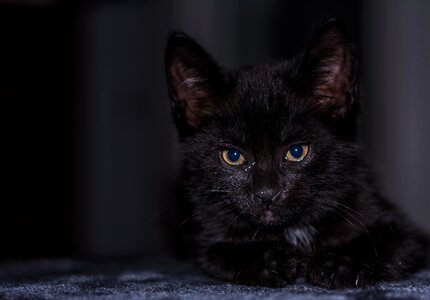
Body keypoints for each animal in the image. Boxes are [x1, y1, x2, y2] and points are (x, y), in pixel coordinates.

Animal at [164, 21, 426, 288]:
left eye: (297, 152)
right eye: (233, 156)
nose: (266, 194)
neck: (293, 230)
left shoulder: (404, 230)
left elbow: (385, 240)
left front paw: (340, 261)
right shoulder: (205, 234)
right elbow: (218, 252)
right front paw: (269, 258)